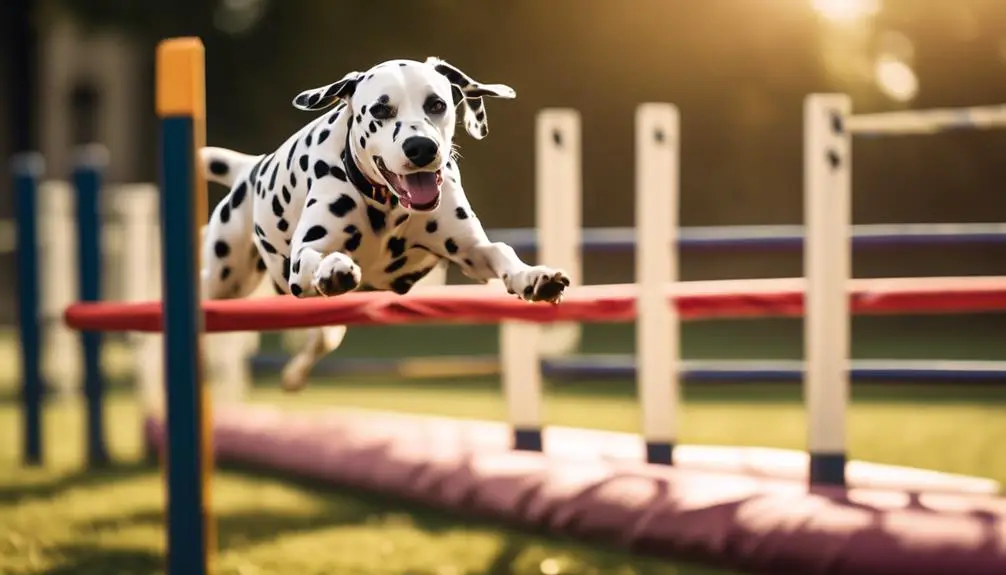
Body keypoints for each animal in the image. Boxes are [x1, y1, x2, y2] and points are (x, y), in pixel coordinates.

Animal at [194, 57, 567, 390]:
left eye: (437, 104)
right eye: (380, 111)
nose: (421, 147)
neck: (386, 204)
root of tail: (249, 169)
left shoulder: (472, 251)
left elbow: (501, 251)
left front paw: (533, 277)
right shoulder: (301, 262)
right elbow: (318, 258)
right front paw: (333, 267)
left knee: (324, 338)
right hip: (225, 278)